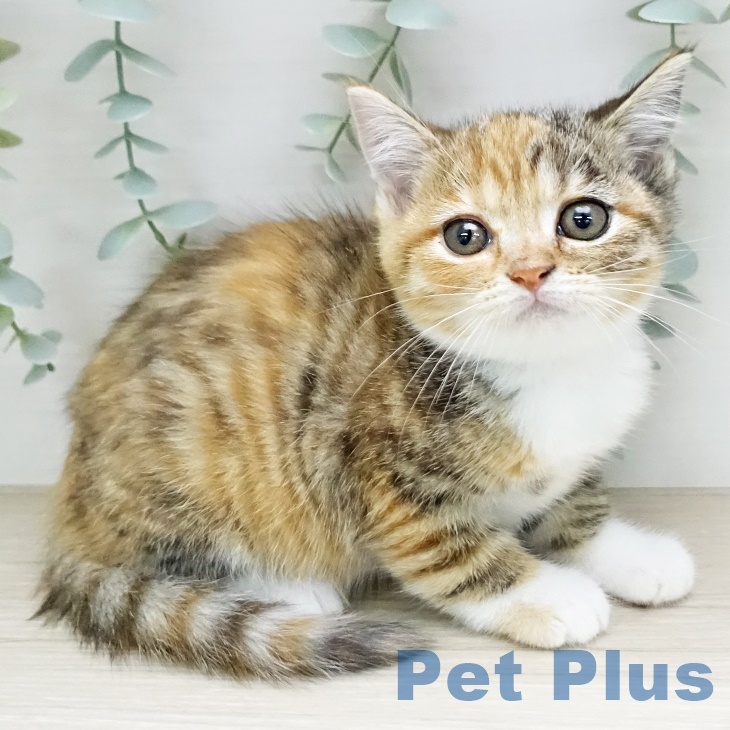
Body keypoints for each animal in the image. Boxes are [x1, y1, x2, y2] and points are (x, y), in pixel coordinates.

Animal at [36, 50, 695, 680]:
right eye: (465, 236)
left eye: (584, 220)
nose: (530, 272)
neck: (545, 369)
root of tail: (71, 513)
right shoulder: (379, 481)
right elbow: (452, 553)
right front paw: (550, 595)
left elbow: (569, 500)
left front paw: (627, 552)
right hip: (197, 451)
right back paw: (290, 589)